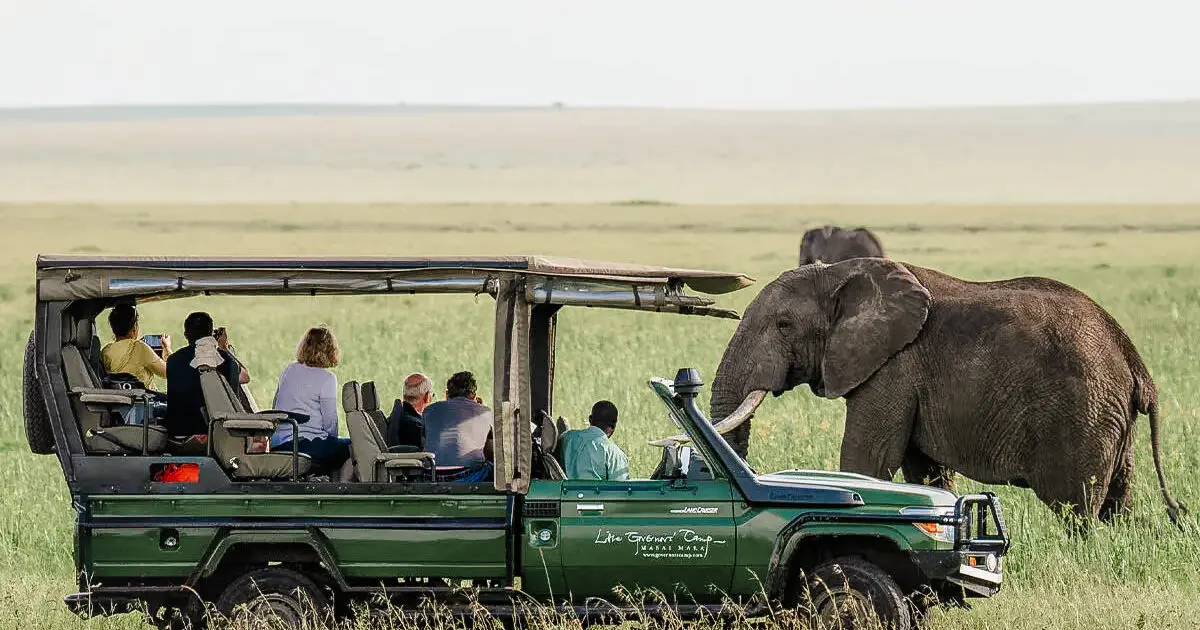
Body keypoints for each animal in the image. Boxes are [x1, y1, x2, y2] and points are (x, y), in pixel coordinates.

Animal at [707, 258, 1185, 524]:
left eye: (784, 324)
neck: (844, 274)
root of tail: (1135, 363)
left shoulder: (893, 368)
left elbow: (868, 459)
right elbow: (925, 470)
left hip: (1081, 412)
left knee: (1077, 508)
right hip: (1111, 418)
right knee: (1118, 503)